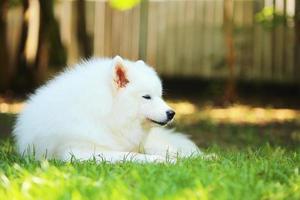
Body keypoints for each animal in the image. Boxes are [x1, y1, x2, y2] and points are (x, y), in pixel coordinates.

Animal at [14, 55, 202, 162]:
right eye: (147, 97)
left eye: (160, 95)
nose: (171, 113)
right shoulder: (79, 151)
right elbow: (131, 155)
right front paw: (160, 160)